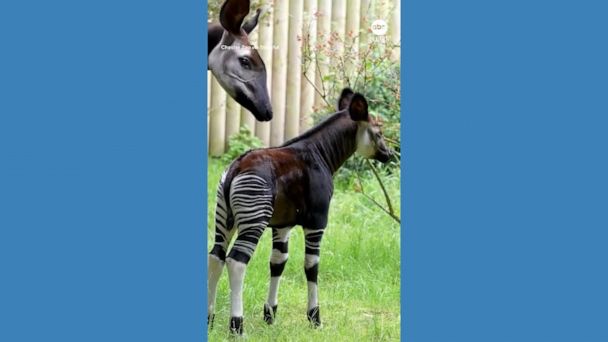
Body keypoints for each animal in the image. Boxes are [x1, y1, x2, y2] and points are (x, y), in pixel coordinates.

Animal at [207, 87, 392, 334]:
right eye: (379, 133)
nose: (389, 154)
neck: (320, 154)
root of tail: (237, 166)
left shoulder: (282, 225)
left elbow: (278, 262)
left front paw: (270, 314)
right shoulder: (317, 222)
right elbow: (312, 267)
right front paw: (315, 317)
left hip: (224, 218)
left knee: (216, 257)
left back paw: (209, 320)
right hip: (254, 220)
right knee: (236, 262)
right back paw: (237, 326)